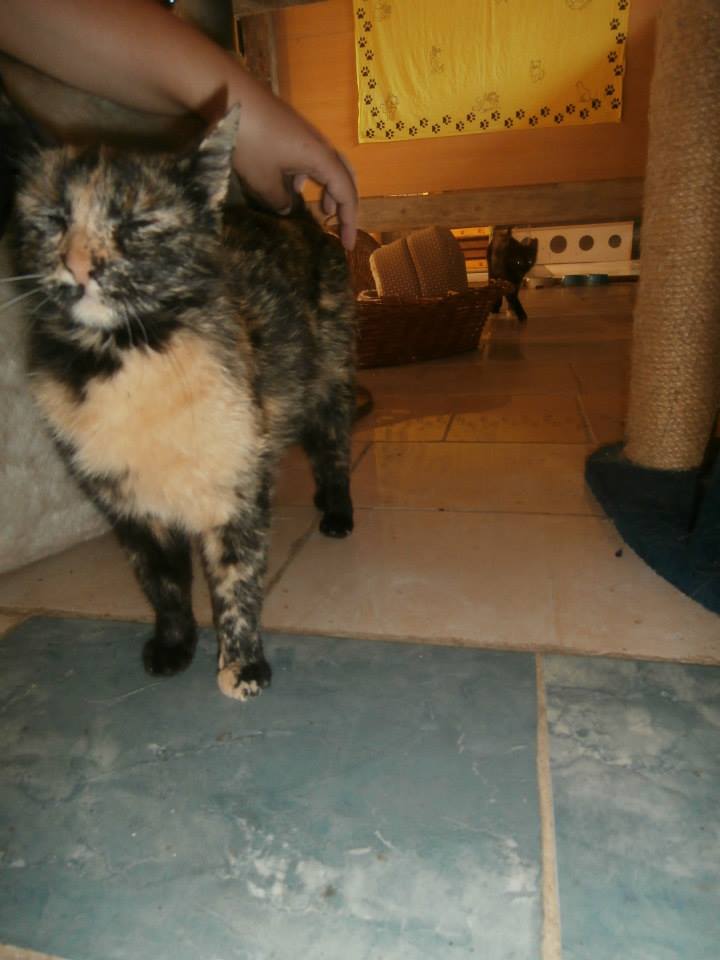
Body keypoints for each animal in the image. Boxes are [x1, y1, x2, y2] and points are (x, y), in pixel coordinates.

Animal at [11, 107, 356, 701]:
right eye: (53, 219)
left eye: (136, 225)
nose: (79, 267)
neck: (128, 353)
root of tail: (297, 219)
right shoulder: (128, 503)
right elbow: (162, 580)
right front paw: (174, 644)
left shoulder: (234, 486)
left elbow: (238, 577)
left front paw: (242, 664)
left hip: (329, 378)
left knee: (331, 448)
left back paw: (336, 510)